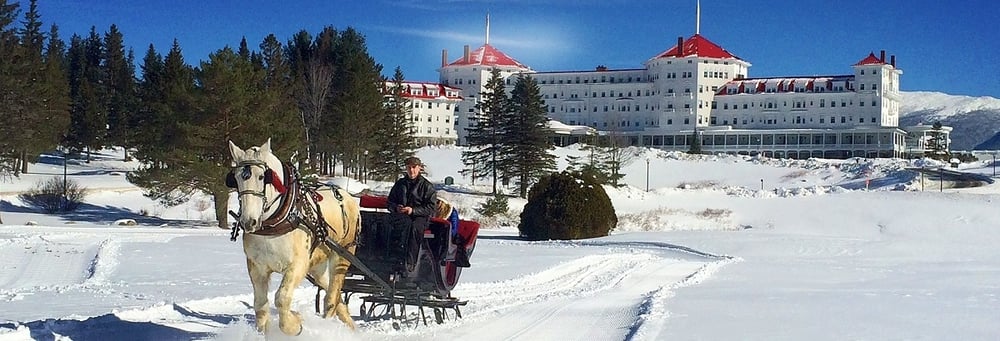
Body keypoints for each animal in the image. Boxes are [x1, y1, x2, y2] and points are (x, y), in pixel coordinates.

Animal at [229, 139, 362, 334]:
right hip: (317, 265)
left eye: (262, 177)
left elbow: (281, 298)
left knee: (332, 297)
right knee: (335, 296)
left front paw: (296, 324)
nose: (249, 221)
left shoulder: (297, 265)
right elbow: (260, 305)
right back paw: (350, 325)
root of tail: (349, 198)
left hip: (343, 254)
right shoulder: (257, 267)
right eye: (236, 178)